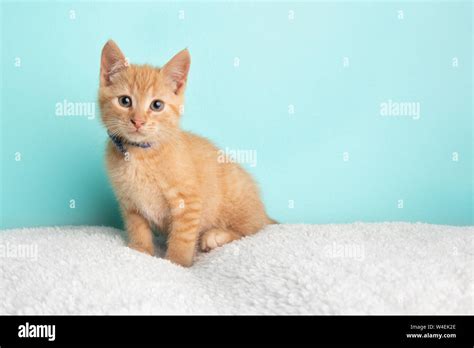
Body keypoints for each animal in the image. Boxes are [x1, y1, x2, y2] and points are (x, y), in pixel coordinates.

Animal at [97, 40, 274, 266]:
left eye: (157, 105)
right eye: (125, 101)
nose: (138, 121)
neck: (141, 153)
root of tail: (264, 212)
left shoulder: (188, 202)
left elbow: (182, 236)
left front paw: (176, 262)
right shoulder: (130, 203)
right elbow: (137, 227)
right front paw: (141, 249)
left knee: (252, 230)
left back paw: (215, 236)